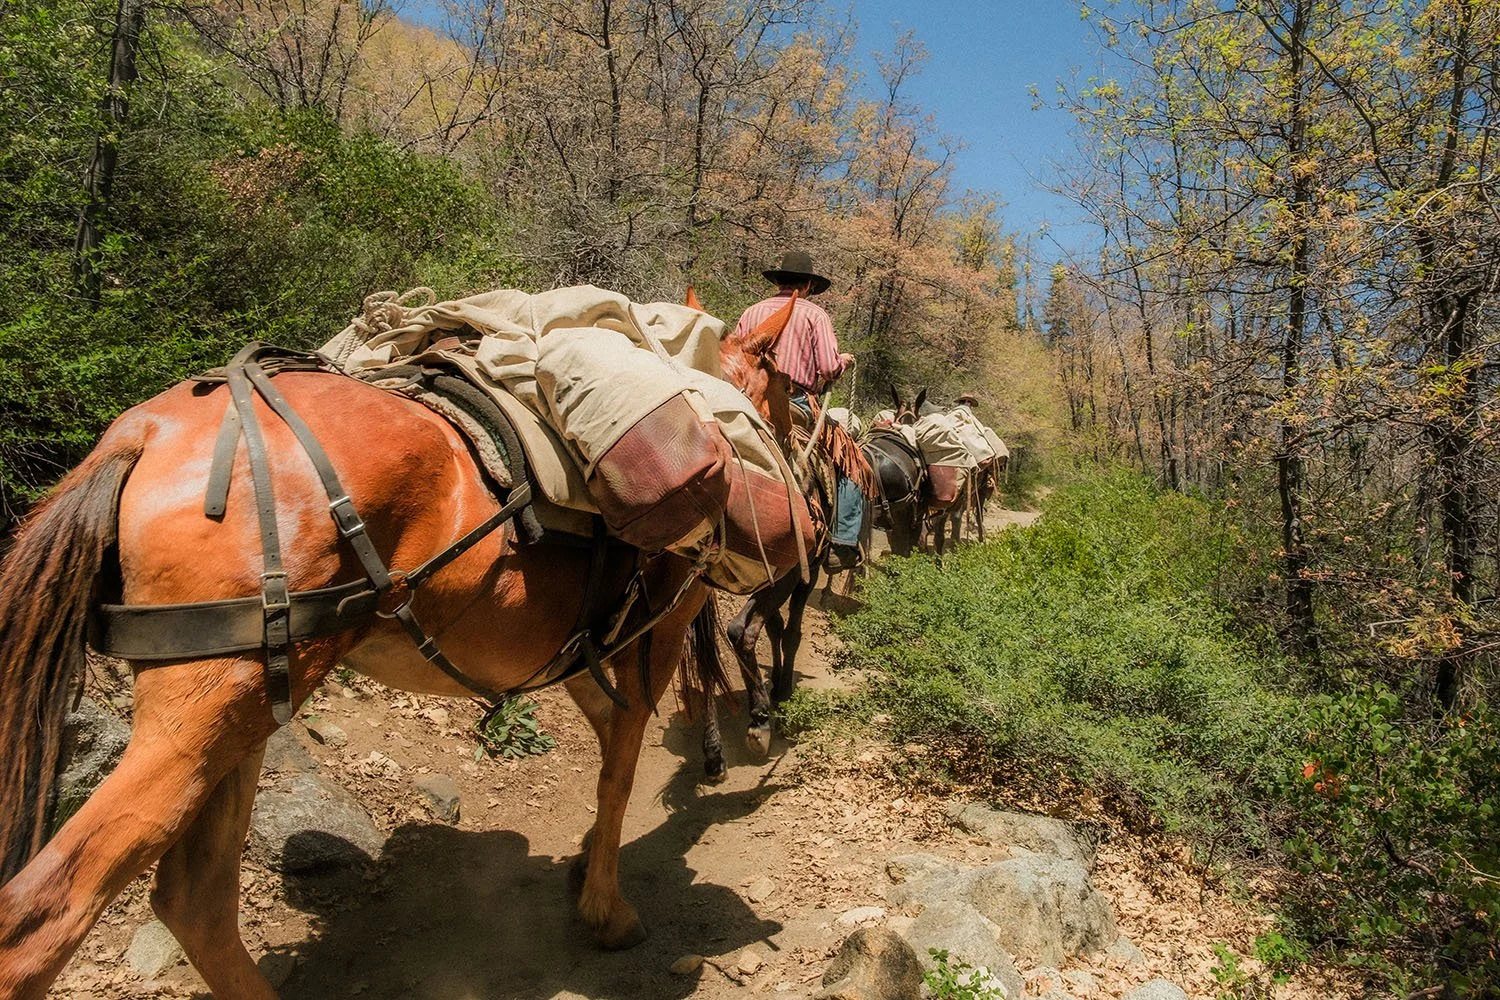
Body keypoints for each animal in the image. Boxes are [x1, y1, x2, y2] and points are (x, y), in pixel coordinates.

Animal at [0, 305, 791, 996]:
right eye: (786, 389)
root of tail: (146, 435)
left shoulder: (585, 657)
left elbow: (608, 751)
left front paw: (587, 863)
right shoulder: (651, 640)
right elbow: (621, 767)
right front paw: (606, 910)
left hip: (240, 712)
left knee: (194, 899)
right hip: (210, 707)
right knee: (47, 915)